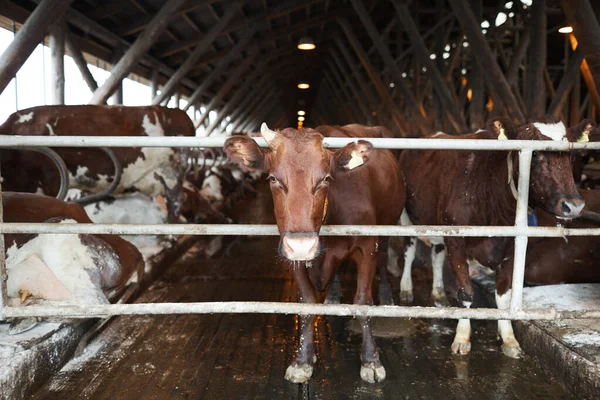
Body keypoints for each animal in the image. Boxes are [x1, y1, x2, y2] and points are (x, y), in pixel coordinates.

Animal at [224, 122, 404, 384]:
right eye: (273, 178)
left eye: (326, 179)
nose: (303, 245)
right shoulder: (292, 254)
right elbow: (307, 304)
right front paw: (303, 359)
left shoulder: (367, 247)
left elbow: (362, 302)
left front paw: (371, 360)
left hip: (388, 226)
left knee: (383, 259)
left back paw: (388, 297)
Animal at [400, 117, 592, 358]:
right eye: (535, 154)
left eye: (570, 155)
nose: (574, 206)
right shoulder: (457, 241)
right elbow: (466, 293)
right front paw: (462, 337)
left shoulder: (511, 248)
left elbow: (503, 297)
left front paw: (508, 338)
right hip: (407, 217)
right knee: (408, 250)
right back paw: (406, 289)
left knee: (436, 254)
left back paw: (438, 293)